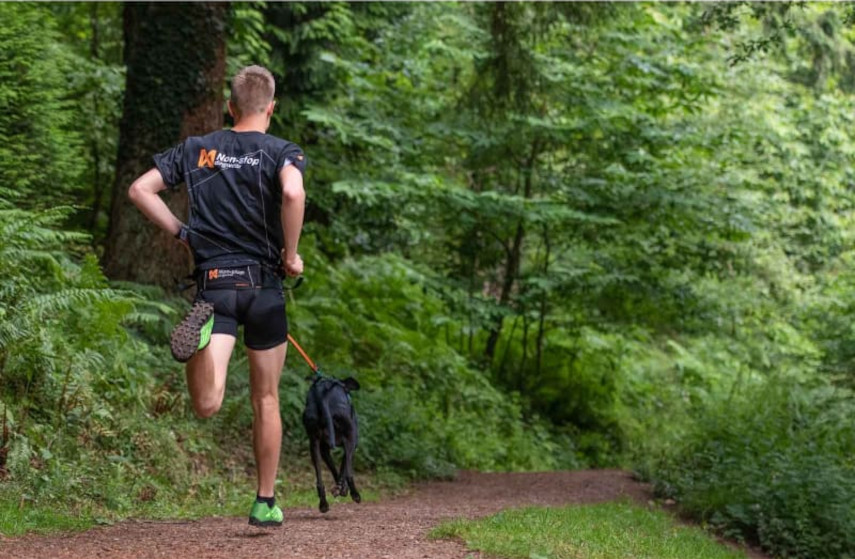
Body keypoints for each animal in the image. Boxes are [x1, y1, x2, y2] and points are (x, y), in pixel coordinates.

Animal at [302, 376, 360, 512]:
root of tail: (324, 394)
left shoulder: (324, 450)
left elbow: (334, 468)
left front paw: (339, 487)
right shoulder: (351, 444)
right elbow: (343, 467)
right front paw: (342, 488)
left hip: (314, 445)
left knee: (319, 480)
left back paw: (323, 504)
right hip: (350, 437)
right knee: (349, 474)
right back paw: (355, 494)